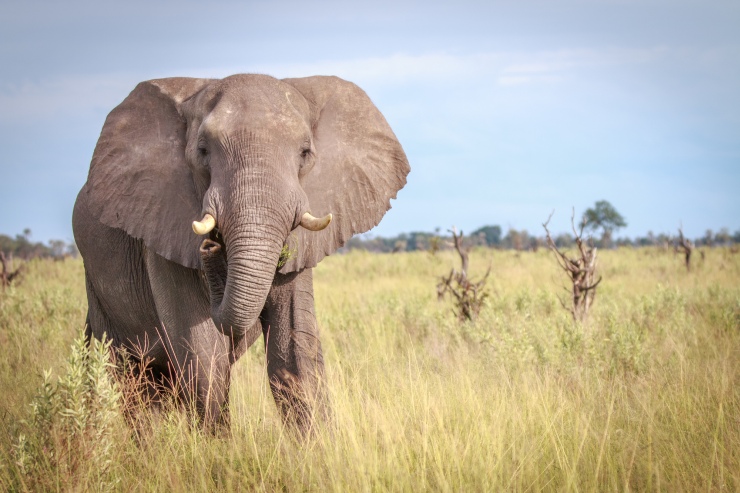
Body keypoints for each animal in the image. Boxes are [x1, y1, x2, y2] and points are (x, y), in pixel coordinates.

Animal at [73, 74, 410, 430]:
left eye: (305, 153)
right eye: (203, 151)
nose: (210, 247)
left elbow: (294, 353)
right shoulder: (159, 228)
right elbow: (204, 355)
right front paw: (217, 446)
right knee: (133, 380)